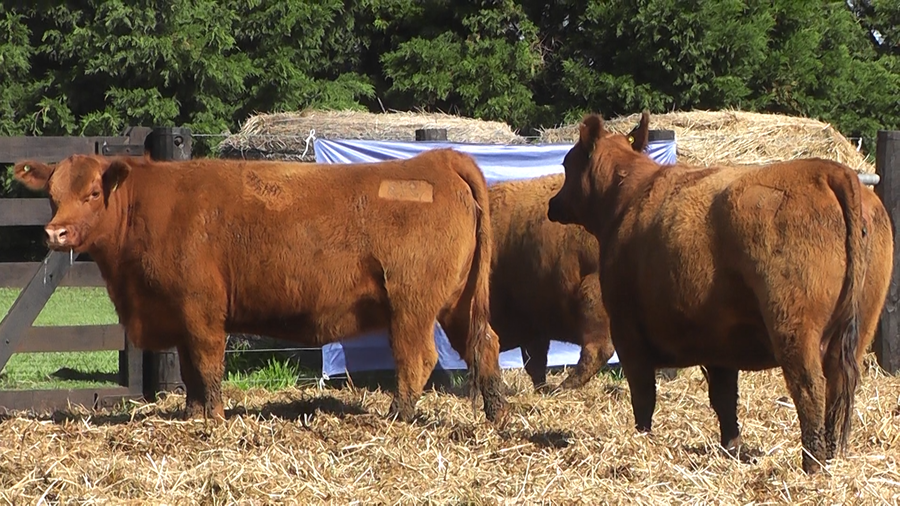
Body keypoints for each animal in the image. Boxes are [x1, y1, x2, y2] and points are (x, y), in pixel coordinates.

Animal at [13, 149, 508, 425]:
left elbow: (208, 366)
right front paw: (192, 414)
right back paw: (497, 416)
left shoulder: (201, 309)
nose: (55, 233)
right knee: (485, 344)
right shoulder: (177, 315)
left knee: (417, 358)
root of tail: (438, 158)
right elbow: (190, 372)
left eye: (93, 193)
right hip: (458, 303)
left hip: (412, 304)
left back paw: (397, 418)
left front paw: (213, 419)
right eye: (52, 195)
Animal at [547, 110, 892, 474]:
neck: (628, 199)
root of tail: (829, 170)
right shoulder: (719, 341)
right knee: (840, 386)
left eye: (567, 164)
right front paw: (732, 446)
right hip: (858, 329)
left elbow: (644, 395)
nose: (552, 204)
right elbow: (725, 398)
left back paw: (813, 463)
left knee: (811, 387)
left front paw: (641, 439)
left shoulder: (629, 333)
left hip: (795, 327)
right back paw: (833, 456)